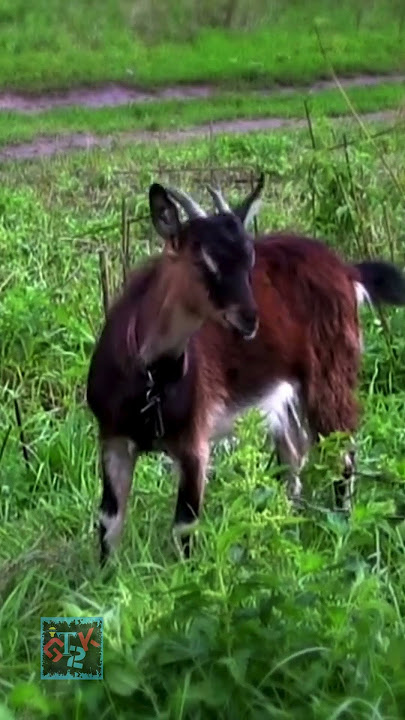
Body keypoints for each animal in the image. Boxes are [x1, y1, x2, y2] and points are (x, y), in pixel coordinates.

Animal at [87, 176, 405, 564]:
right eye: (203, 259)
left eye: (249, 258)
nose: (250, 319)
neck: (148, 378)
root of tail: (347, 270)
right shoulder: (113, 438)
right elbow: (109, 521)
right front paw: (105, 578)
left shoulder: (194, 441)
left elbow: (184, 527)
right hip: (286, 396)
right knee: (292, 459)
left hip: (331, 374)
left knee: (341, 453)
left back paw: (342, 529)